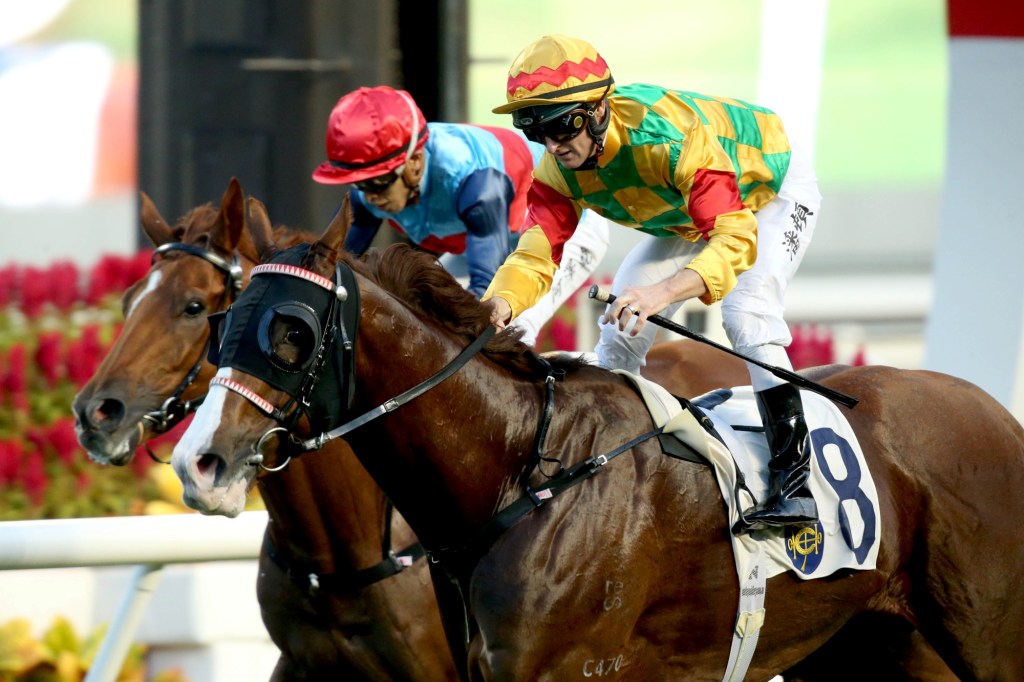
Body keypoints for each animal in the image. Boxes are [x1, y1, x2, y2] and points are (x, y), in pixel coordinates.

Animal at [172, 202, 1023, 681]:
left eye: (290, 331)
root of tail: (996, 412)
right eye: (222, 321)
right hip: (866, 646)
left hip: (984, 639)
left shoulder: (571, 668)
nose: (197, 461)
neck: (519, 470)